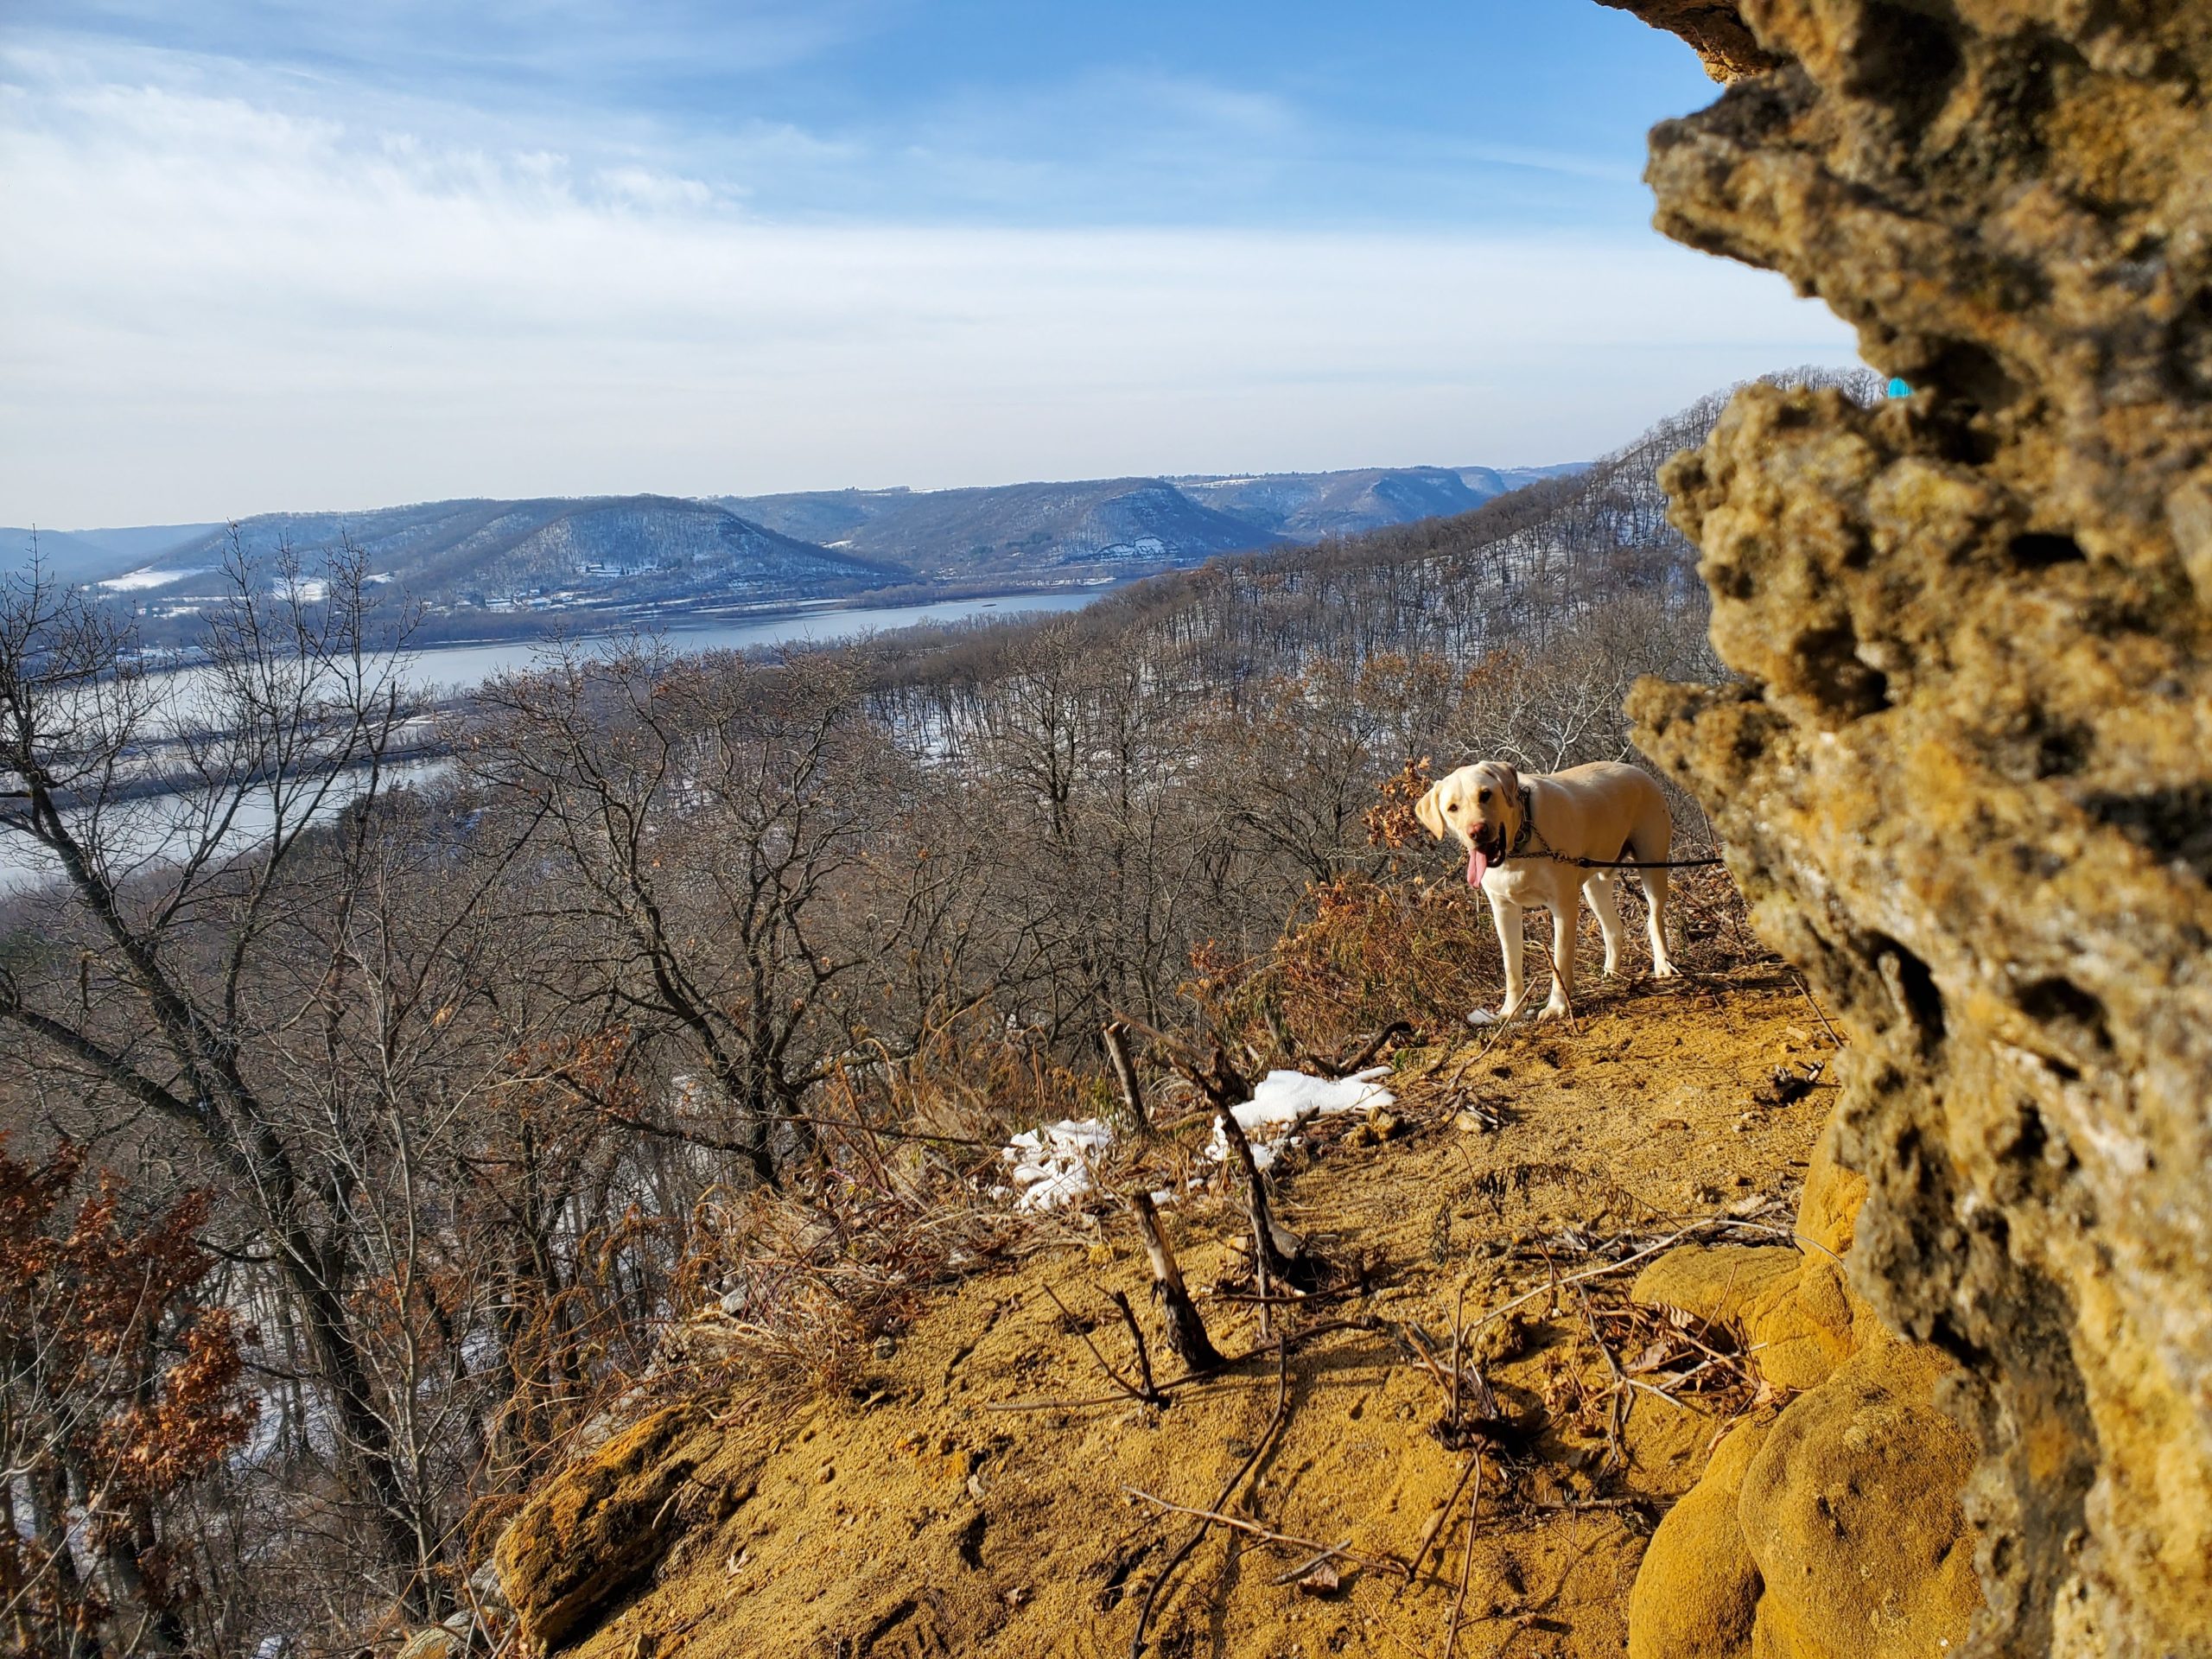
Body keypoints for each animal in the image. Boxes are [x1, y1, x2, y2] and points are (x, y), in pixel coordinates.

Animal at [1415, 760, 1672, 1021]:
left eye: (1485, 794)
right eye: (1452, 808)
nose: (1477, 831)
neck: (1520, 844)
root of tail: (1636, 769)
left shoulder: (1563, 906)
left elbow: (1560, 961)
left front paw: (1557, 1007)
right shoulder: (1504, 910)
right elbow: (1511, 968)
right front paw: (1510, 1011)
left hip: (1652, 864)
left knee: (1654, 918)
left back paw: (1663, 964)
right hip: (1594, 885)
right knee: (1613, 929)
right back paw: (1611, 973)